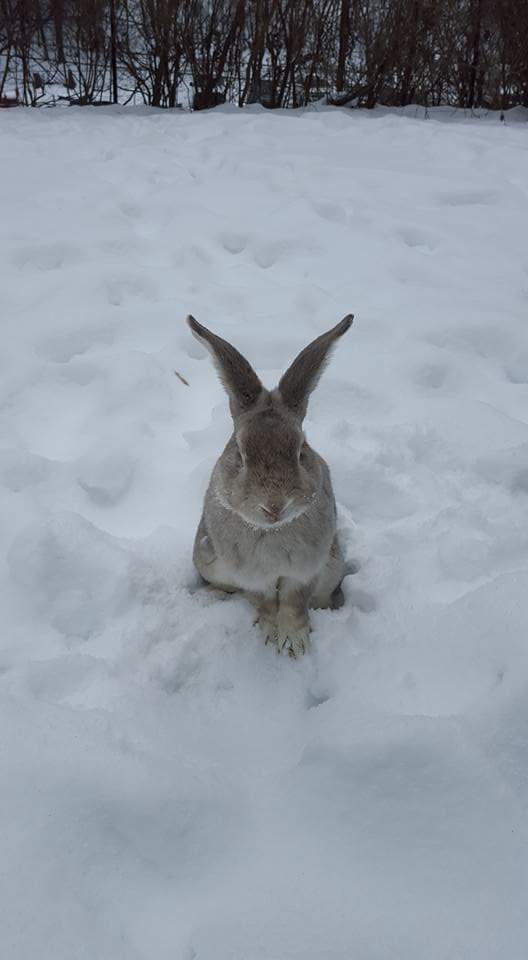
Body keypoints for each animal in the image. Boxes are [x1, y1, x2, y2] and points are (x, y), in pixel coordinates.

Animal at [188, 313, 353, 658]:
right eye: (239, 453)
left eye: (301, 450)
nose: (275, 506)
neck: (272, 531)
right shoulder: (251, 577)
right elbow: (263, 602)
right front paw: (269, 635)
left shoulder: (305, 572)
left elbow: (294, 603)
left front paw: (294, 644)